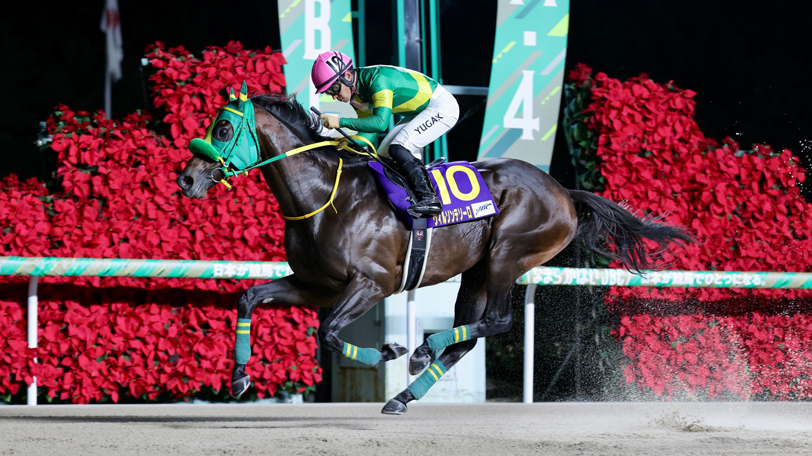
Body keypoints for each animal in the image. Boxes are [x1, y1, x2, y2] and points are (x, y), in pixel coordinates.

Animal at [176, 84, 692, 414]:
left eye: (223, 129)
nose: (186, 180)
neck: (326, 195)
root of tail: (564, 191)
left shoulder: (371, 283)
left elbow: (328, 331)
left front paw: (389, 350)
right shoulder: (315, 284)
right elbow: (250, 297)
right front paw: (239, 377)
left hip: (508, 255)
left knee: (497, 320)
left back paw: (422, 351)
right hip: (476, 271)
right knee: (469, 334)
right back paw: (405, 393)